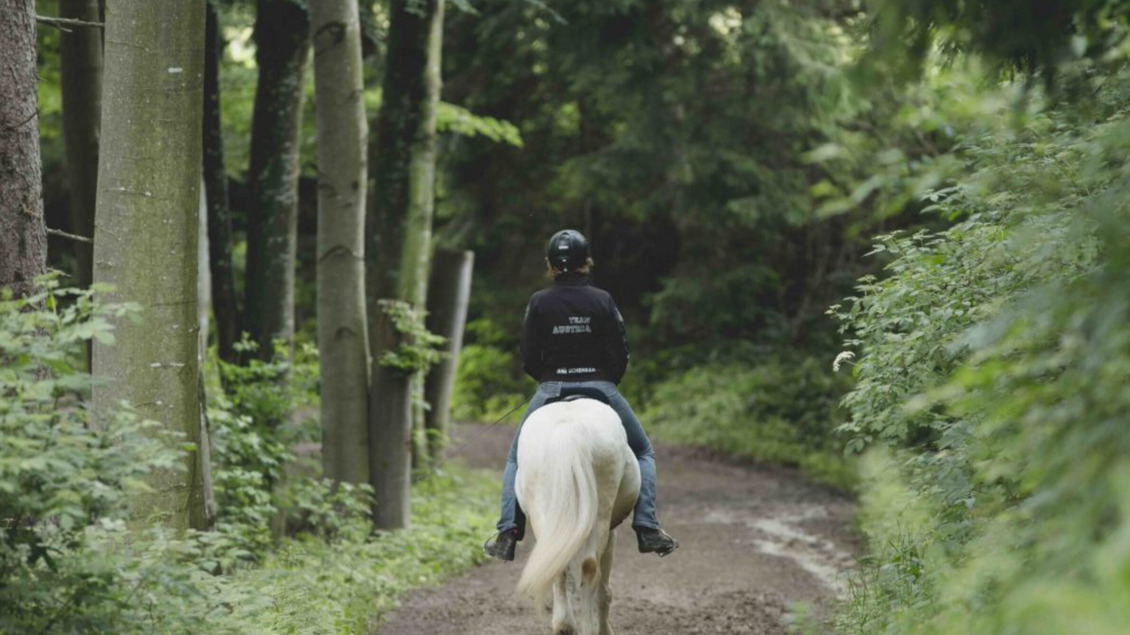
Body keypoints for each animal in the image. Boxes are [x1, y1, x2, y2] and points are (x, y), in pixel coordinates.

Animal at [514, 396, 642, 635]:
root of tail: (568, 429)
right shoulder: (612, 532)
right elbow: (604, 589)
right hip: (601, 516)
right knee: (590, 567)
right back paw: (586, 628)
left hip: (543, 516)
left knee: (559, 567)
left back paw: (564, 625)